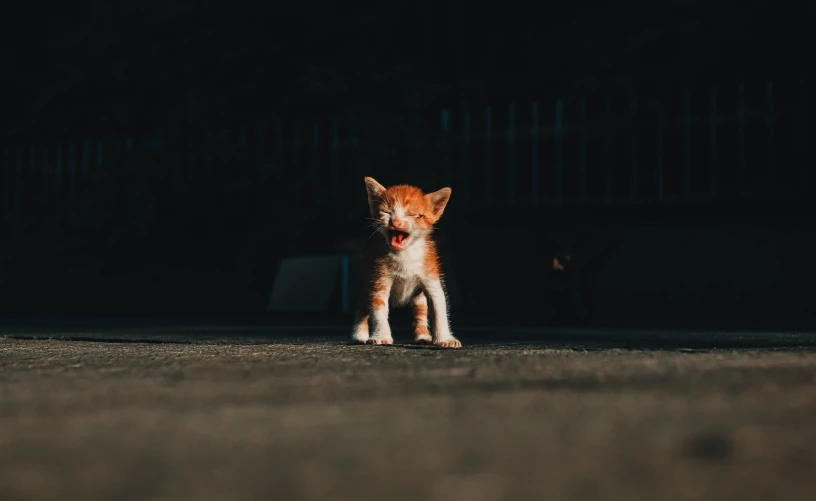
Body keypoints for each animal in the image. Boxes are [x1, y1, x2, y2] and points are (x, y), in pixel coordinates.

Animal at [350, 176, 462, 348]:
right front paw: (381, 336)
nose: (395, 222)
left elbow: (439, 307)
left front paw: (445, 339)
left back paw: (423, 335)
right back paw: (359, 335)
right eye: (386, 212)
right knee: (362, 306)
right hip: (365, 278)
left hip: (418, 296)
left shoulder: (431, 278)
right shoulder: (379, 280)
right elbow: (378, 309)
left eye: (412, 214)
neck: (405, 254)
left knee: (420, 311)